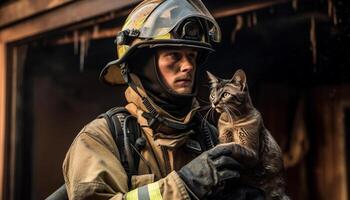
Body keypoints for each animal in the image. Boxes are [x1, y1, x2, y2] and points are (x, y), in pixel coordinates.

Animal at [206, 69, 288, 200]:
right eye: (212, 95)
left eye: (225, 95)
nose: (214, 102)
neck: (232, 121)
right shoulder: (224, 137)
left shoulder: (252, 152)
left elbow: (232, 146)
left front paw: (213, 151)